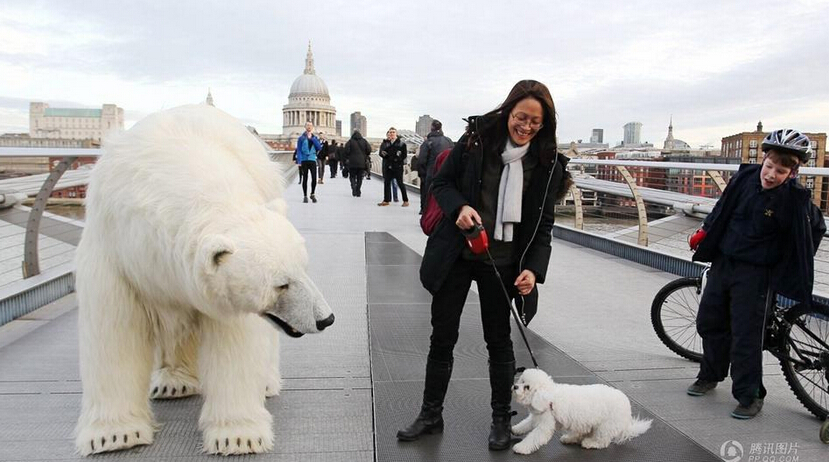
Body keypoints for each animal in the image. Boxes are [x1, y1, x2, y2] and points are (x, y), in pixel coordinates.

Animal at [73, 104, 334, 456]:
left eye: (303, 268)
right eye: (281, 284)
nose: (325, 319)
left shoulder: (224, 292)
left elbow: (234, 341)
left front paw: (238, 436)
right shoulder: (116, 253)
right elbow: (114, 332)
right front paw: (113, 436)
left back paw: (263, 382)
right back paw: (173, 381)